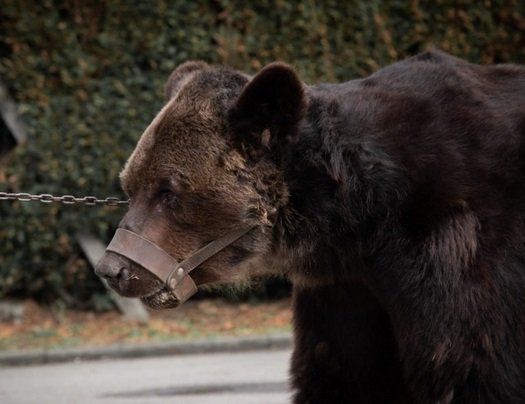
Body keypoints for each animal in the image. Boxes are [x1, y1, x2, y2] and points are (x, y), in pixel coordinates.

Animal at [96, 52, 524, 402]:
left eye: (168, 192)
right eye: (130, 186)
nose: (113, 269)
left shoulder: (455, 252)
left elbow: (475, 369)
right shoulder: (345, 289)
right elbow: (342, 374)